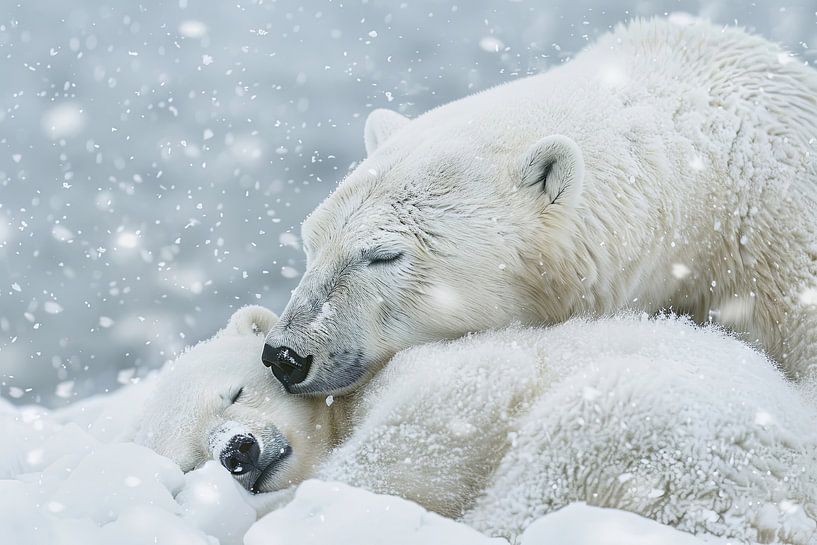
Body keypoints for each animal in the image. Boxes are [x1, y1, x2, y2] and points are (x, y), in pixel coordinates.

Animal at [134, 306, 817, 543]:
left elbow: (446, 405)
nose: (238, 451)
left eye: (235, 392)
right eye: (192, 457)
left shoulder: (445, 369)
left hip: (671, 428)